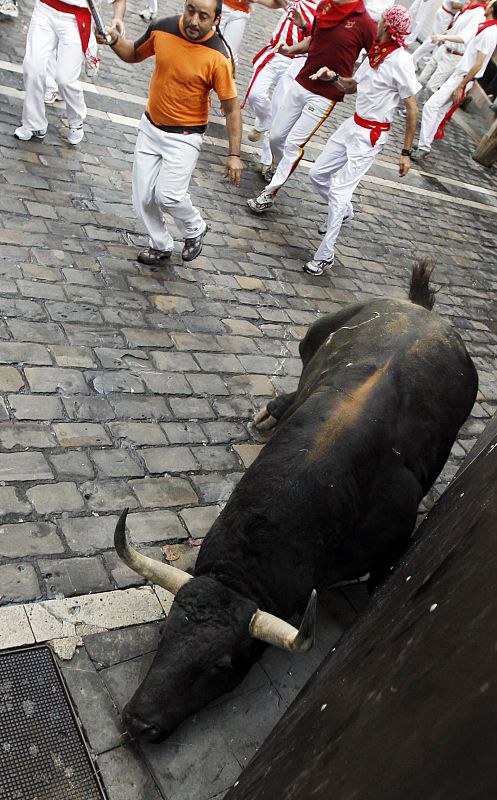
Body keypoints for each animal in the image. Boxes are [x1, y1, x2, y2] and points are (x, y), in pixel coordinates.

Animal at [112, 260, 476, 740]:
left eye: (221, 665)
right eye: (164, 633)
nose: (139, 721)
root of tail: (422, 310)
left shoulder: (394, 543)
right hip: (314, 334)